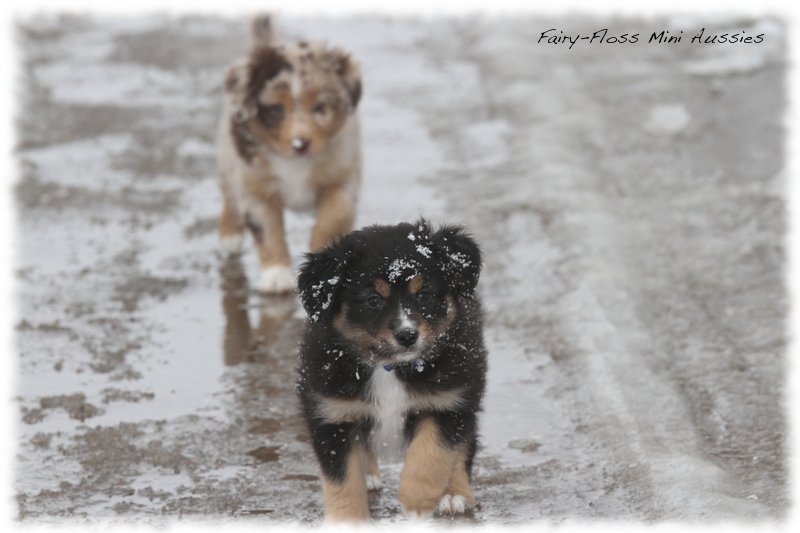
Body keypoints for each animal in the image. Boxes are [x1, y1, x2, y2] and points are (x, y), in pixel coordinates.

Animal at [296, 218, 488, 520]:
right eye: (373, 300)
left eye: (424, 295)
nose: (407, 335)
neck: (389, 367)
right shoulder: (332, 414)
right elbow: (342, 479)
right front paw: (348, 520)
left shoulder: (448, 401)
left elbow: (432, 453)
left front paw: (417, 499)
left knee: (463, 446)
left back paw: (454, 493)